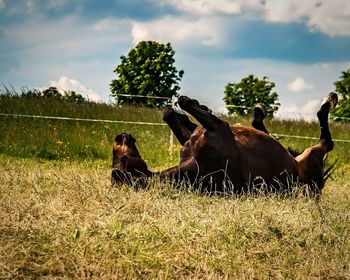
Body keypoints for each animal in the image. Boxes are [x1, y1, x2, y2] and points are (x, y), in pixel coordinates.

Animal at [111, 92, 336, 195]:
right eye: (122, 157)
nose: (121, 136)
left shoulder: (193, 137)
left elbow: (172, 116)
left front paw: (182, 112)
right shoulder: (220, 127)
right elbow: (185, 103)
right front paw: (191, 104)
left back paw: (259, 111)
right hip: (313, 155)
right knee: (327, 139)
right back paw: (330, 99)